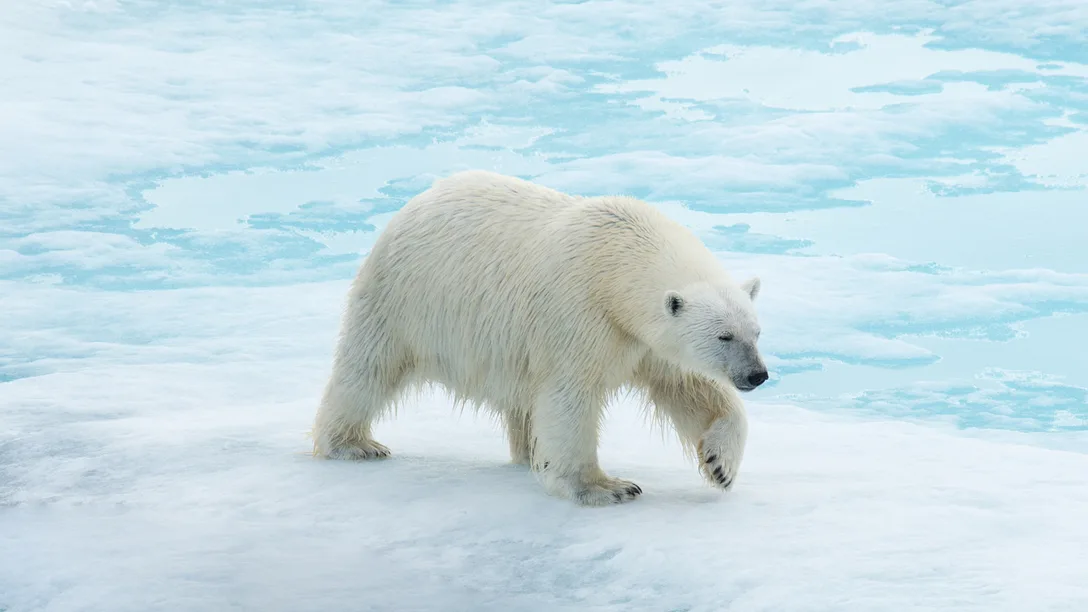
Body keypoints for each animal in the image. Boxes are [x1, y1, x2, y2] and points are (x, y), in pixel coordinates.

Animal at [312, 170, 768, 506]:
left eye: (756, 332)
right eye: (724, 336)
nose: (757, 375)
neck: (616, 260)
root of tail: (415, 202)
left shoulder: (642, 339)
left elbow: (689, 388)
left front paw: (720, 465)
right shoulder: (578, 314)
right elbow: (570, 397)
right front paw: (605, 487)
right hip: (405, 300)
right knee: (368, 368)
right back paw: (353, 444)